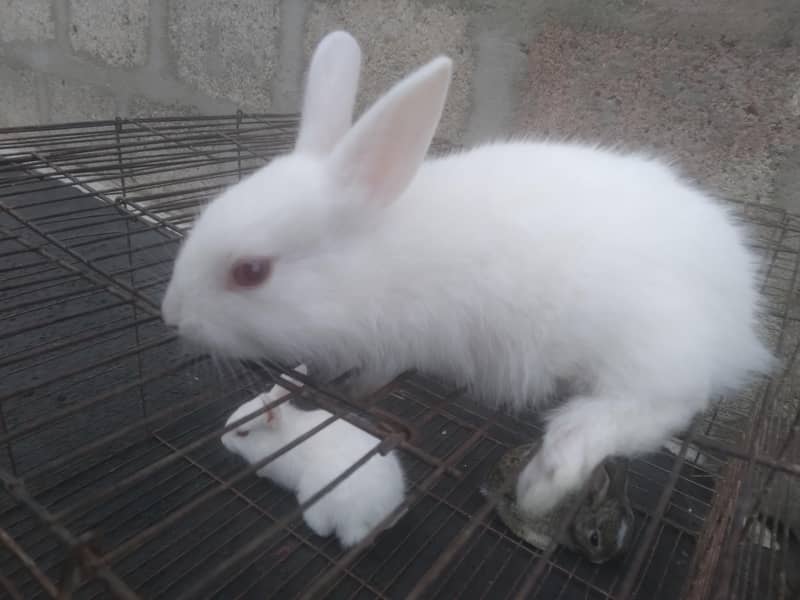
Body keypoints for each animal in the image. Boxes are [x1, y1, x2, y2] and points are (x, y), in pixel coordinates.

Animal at [163, 29, 773, 518]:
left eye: (250, 271)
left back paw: (546, 479)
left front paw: (354, 388)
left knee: (655, 408)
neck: (375, 257)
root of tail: (739, 306)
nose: (172, 316)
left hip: (647, 348)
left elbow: (375, 374)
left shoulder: (397, 342)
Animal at [482, 441, 635, 564]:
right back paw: (542, 543)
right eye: (594, 539)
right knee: (510, 518)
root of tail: (493, 480)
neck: (580, 507)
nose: (599, 561)